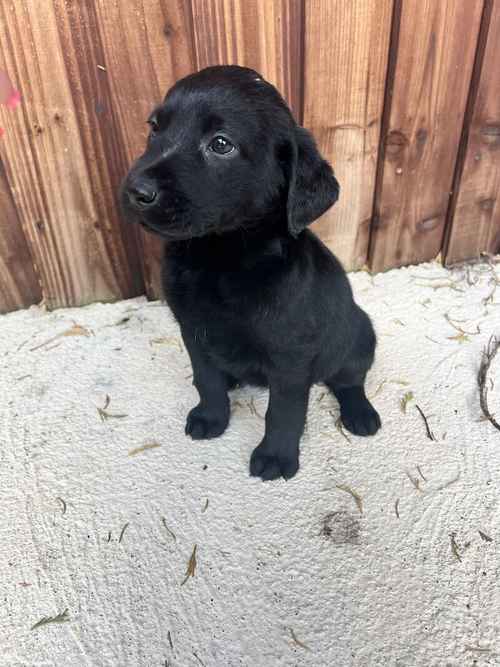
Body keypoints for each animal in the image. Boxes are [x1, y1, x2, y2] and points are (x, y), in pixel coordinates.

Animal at [123, 66, 380, 480]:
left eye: (221, 144)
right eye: (154, 128)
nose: (136, 190)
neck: (220, 259)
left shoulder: (291, 357)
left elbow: (284, 411)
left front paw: (276, 455)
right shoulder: (193, 331)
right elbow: (206, 378)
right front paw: (211, 416)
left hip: (359, 337)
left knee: (350, 379)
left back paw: (360, 413)